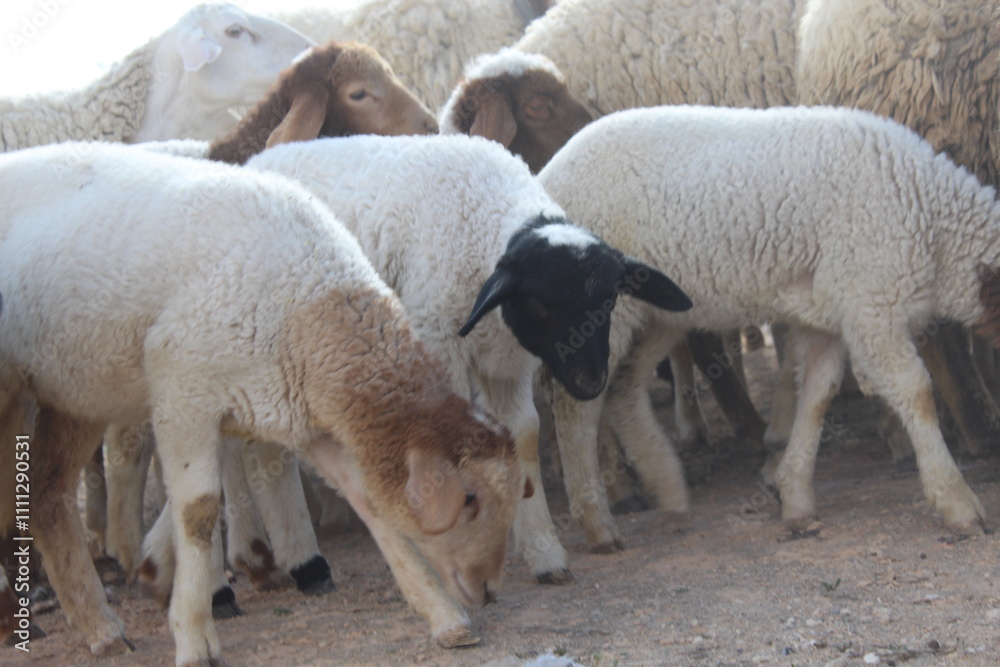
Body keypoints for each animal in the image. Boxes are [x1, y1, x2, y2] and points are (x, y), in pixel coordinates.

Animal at [0, 141, 528, 662]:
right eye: (470, 499)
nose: (489, 590)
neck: (307, 302)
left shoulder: (311, 416)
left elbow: (371, 505)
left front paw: (443, 615)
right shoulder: (183, 393)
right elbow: (199, 513)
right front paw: (194, 635)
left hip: (76, 395)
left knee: (45, 493)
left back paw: (100, 627)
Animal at [233, 133, 692, 583]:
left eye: (611, 298)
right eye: (541, 305)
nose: (591, 381)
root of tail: (256, 160)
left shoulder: (507, 363)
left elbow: (523, 435)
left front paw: (545, 554)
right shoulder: (437, 339)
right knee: (252, 456)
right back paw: (282, 560)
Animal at [536, 104, 993, 549]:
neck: (934, 223)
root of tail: (547, 174)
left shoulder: (832, 312)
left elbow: (818, 394)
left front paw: (795, 496)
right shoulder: (872, 305)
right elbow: (916, 392)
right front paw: (957, 501)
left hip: (656, 313)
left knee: (624, 389)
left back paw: (666, 484)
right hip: (600, 312)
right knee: (575, 404)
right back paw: (598, 522)